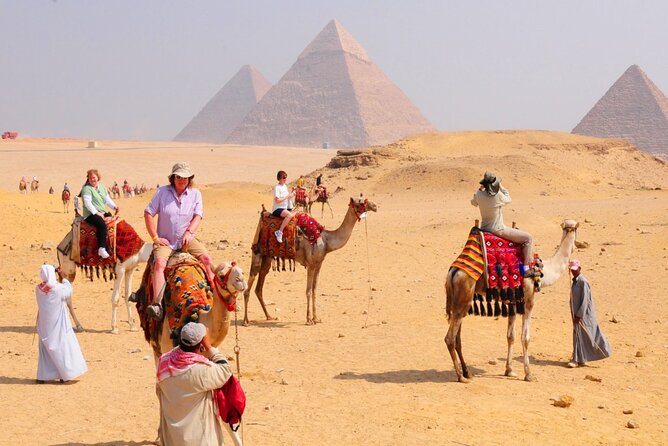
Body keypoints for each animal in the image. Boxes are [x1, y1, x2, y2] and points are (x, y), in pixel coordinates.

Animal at [245, 195, 378, 324]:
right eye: (360, 202)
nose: (375, 206)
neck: (326, 241)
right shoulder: (310, 264)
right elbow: (308, 291)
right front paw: (309, 319)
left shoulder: (318, 264)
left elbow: (314, 290)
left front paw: (316, 318)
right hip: (257, 255)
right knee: (248, 287)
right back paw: (246, 321)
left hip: (267, 258)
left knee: (259, 288)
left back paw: (269, 316)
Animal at [444, 218, 580, 382]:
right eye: (578, 230)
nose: (578, 244)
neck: (544, 271)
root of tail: (453, 271)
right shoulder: (528, 300)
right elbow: (525, 337)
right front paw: (528, 374)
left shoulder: (513, 302)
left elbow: (511, 336)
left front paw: (509, 371)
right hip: (464, 295)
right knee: (450, 338)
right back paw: (461, 377)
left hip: (459, 301)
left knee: (457, 338)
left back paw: (467, 372)